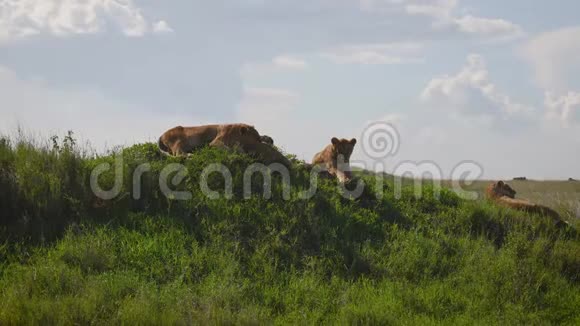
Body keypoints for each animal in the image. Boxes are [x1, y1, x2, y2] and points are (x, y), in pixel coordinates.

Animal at [157, 123, 290, 167]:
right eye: (255, 140)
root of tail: (161, 136)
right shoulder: (215, 143)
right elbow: (228, 149)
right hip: (179, 141)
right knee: (178, 154)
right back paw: (190, 156)